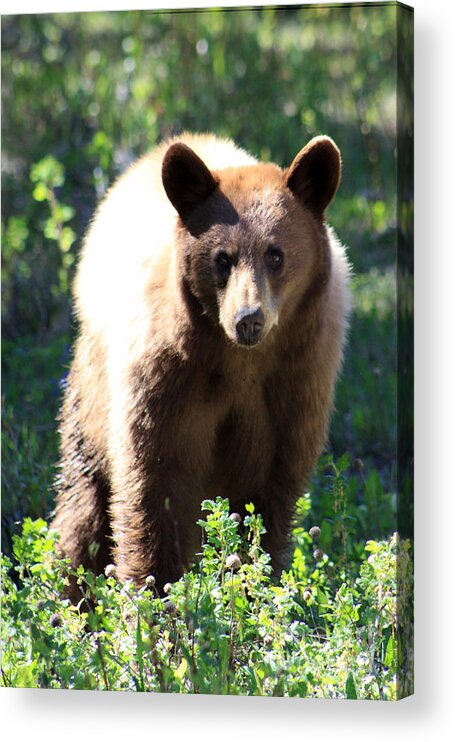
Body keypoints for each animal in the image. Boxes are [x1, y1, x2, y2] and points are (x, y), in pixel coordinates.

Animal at [51, 132, 350, 592]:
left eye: (276, 255)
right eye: (222, 258)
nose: (249, 319)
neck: (239, 361)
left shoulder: (296, 382)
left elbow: (269, 499)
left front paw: (255, 584)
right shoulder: (165, 379)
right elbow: (152, 486)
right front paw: (153, 594)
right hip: (91, 391)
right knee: (84, 496)